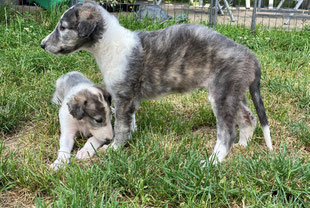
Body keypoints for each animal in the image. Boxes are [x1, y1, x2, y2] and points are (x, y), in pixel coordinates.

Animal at [40, 1, 272, 164]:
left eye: (63, 27)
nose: (42, 45)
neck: (109, 43)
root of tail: (251, 56)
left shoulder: (123, 97)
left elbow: (121, 128)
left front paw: (113, 149)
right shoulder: (130, 100)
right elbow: (131, 123)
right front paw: (130, 138)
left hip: (222, 95)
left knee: (228, 133)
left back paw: (211, 162)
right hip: (234, 93)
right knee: (249, 118)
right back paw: (243, 145)